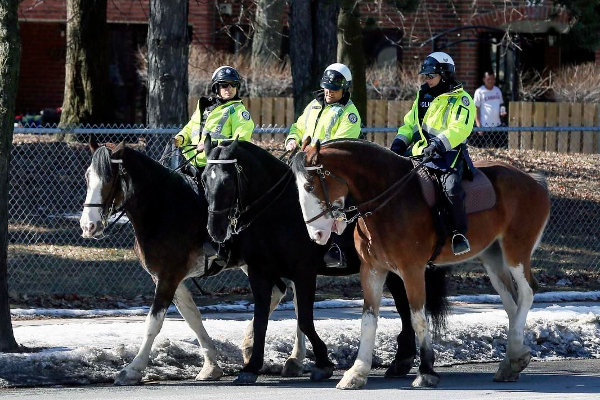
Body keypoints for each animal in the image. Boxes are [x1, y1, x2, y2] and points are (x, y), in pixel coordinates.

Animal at [79, 140, 322, 384]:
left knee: (295, 299)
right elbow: (192, 317)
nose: (88, 226)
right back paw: (252, 345)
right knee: (279, 291)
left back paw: (294, 358)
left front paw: (133, 369)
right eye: (87, 176)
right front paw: (211, 365)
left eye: (109, 178)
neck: (163, 207)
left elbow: (153, 323)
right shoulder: (167, 278)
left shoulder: (169, 276)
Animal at [202, 137, 450, 384]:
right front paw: (251, 366)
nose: (215, 230)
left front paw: (322, 362)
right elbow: (261, 318)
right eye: (204, 179)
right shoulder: (259, 272)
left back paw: (404, 359)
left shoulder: (303, 272)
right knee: (404, 308)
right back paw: (402, 360)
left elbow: (304, 319)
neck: (276, 210)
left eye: (227, 180)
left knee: (405, 309)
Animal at [292, 139, 552, 390]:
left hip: (516, 252)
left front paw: (426, 370)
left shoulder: (412, 270)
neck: (389, 200)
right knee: (511, 302)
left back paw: (514, 353)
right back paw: (513, 359)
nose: (316, 234)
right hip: (493, 258)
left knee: (527, 292)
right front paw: (357, 372)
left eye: (309, 186)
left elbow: (417, 318)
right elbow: (368, 320)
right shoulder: (372, 270)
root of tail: (533, 180)